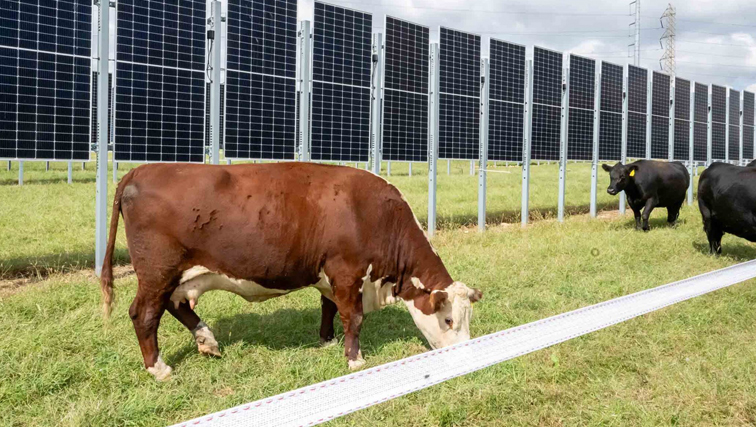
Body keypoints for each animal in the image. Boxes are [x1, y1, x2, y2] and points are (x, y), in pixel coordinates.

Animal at [100, 162, 482, 381]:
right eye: (449, 320)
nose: (466, 355)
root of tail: (141, 170)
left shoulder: (330, 275)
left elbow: (329, 307)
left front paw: (328, 339)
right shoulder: (347, 272)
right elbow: (354, 317)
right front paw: (354, 359)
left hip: (177, 274)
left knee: (174, 305)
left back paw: (207, 340)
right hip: (157, 270)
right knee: (144, 314)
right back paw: (159, 368)